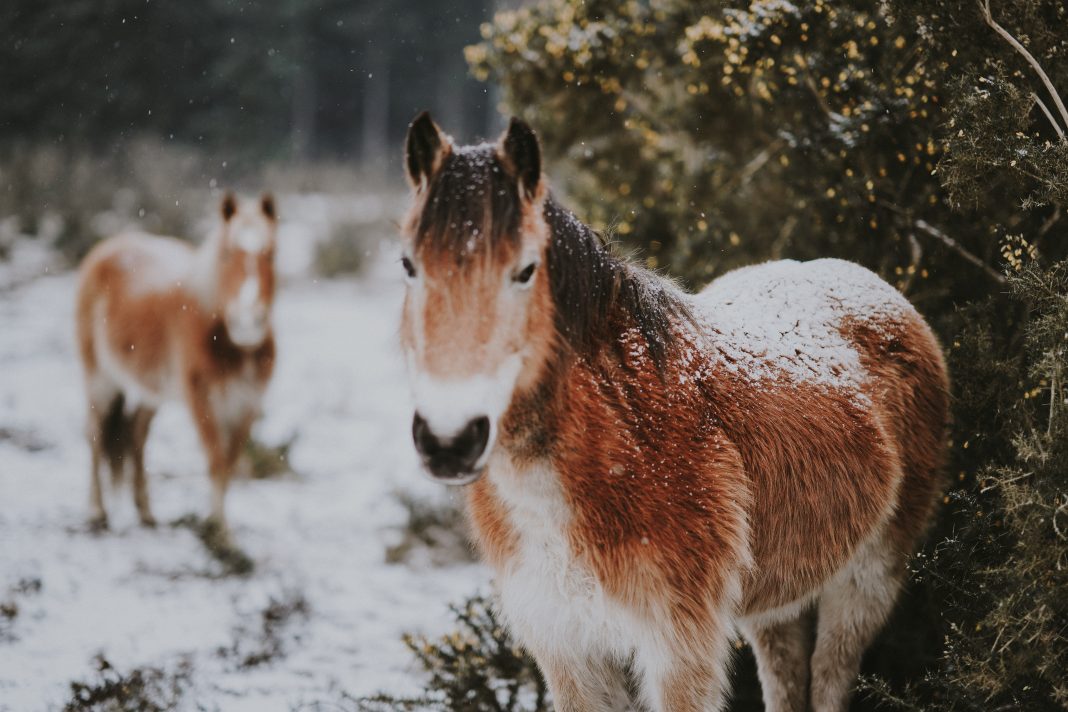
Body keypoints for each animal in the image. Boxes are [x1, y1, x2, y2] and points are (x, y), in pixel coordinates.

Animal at [75, 192, 279, 531]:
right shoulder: (201, 398)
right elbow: (216, 460)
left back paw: (145, 512)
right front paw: (218, 532)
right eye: (226, 255)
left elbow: (229, 463)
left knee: (135, 435)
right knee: (95, 434)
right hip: (100, 379)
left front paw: (222, 529)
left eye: (271, 255)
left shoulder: (246, 404)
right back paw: (96, 511)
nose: (247, 319)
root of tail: (107, 247)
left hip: (150, 392)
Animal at [397, 112, 948, 712]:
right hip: (777, 600)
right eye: (408, 265)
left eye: (525, 270)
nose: (450, 440)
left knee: (829, 676)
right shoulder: (567, 651)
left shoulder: (679, 652)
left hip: (866, 582)